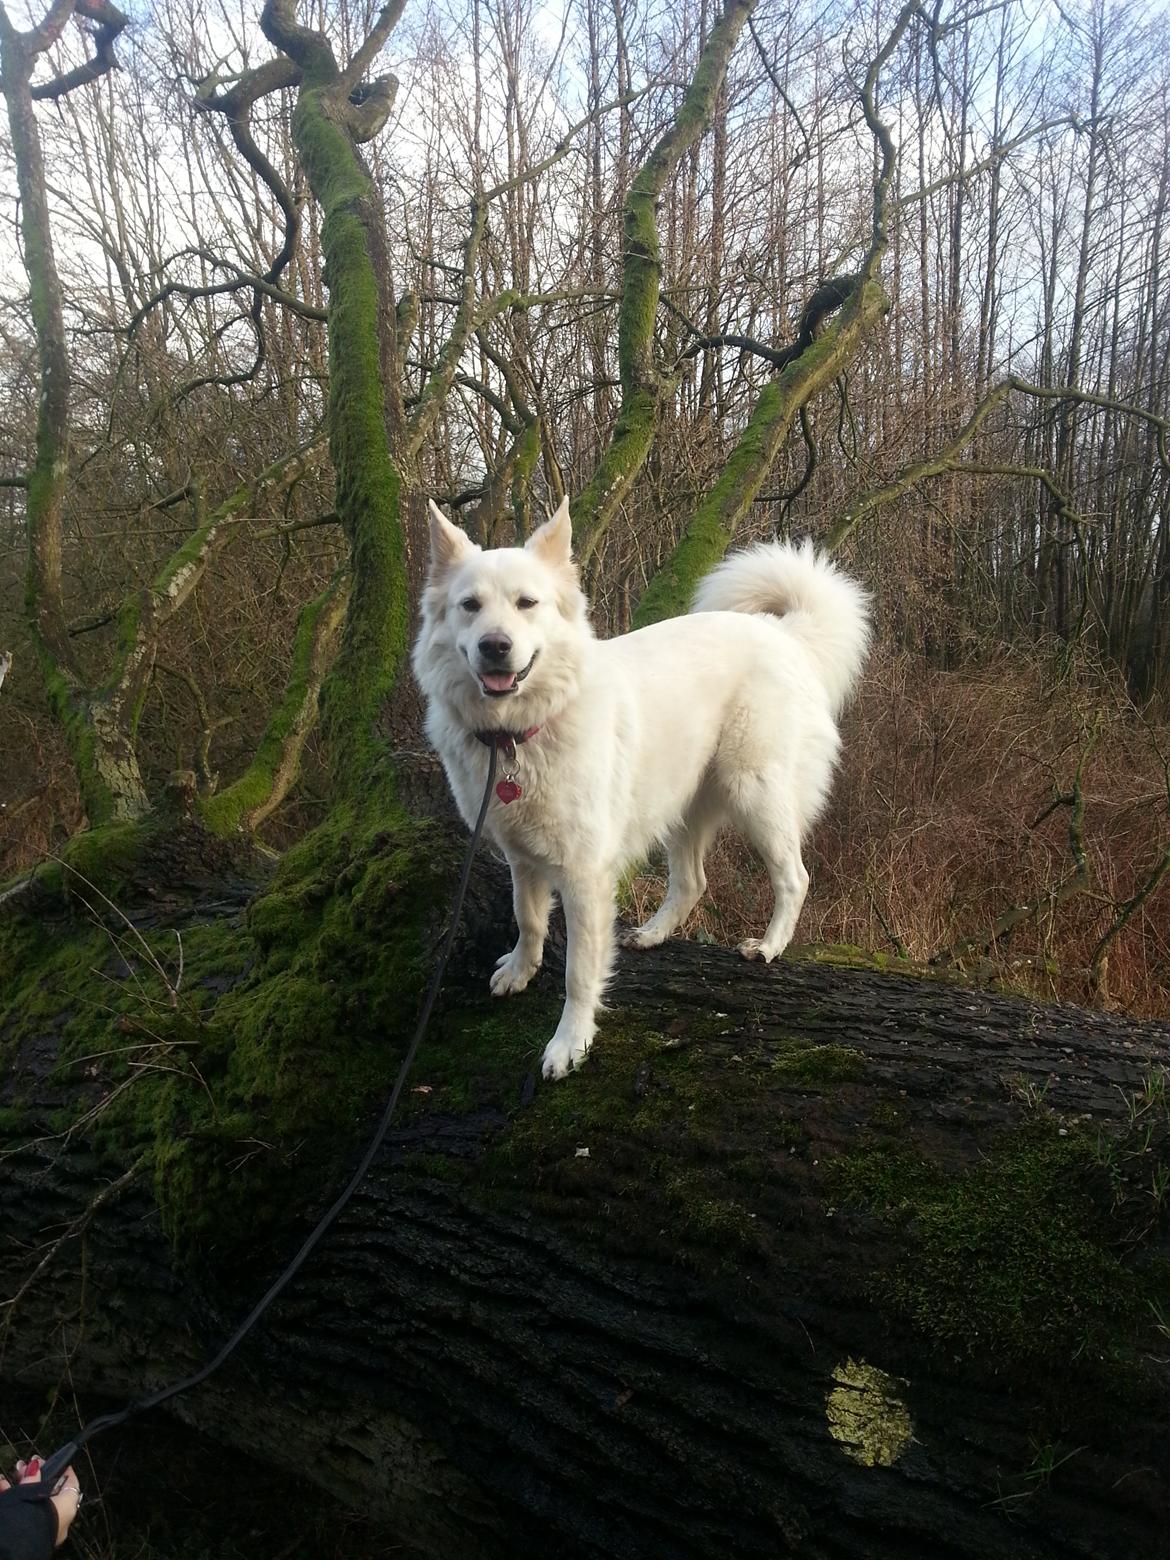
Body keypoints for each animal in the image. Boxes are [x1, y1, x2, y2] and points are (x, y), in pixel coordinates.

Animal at [411, 502, 873, 1085]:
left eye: (526, 604)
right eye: (469, 606)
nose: (496, 647)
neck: (522, 731)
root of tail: (783, 632)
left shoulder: (584, 876)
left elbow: (579, 972)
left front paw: (571, 1043)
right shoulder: (522, 854)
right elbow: (527, 917)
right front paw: (520, 969)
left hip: (756, 795)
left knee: (794, 877)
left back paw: (768, 946)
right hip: (682, 808)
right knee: (693, 882)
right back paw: (652, 934)